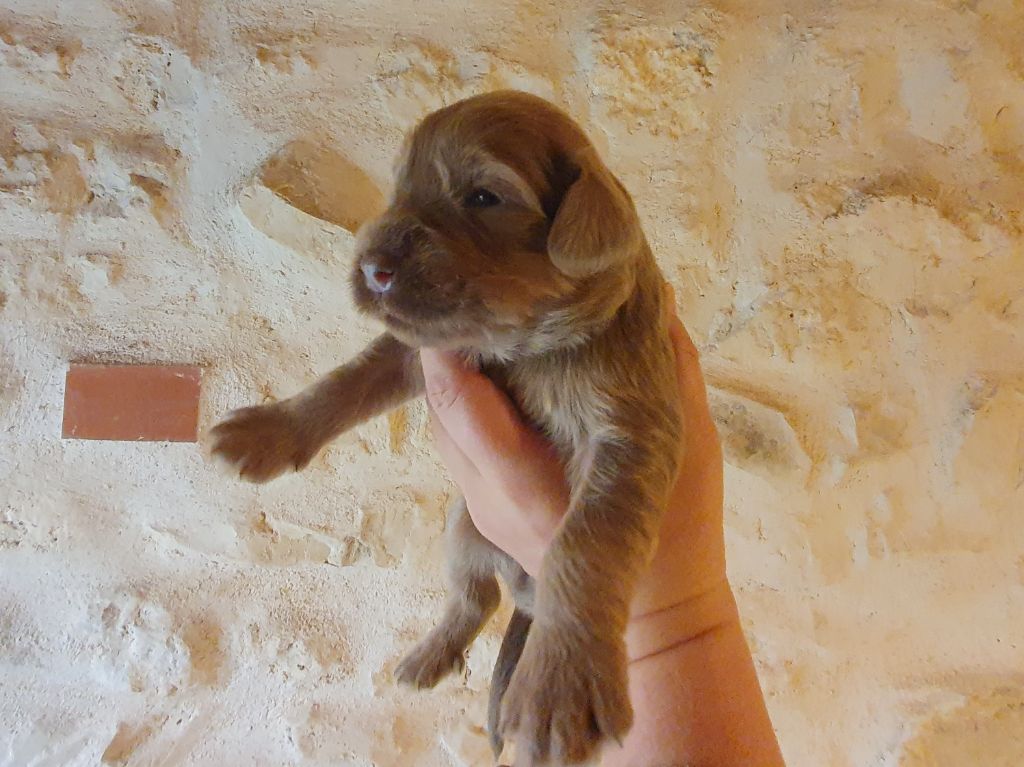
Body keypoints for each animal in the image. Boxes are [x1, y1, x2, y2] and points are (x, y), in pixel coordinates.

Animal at [208, 91, 684, 765]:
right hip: (462, 528)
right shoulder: (420, 348)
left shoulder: (631, 431)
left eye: (482, 196)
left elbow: (586, 543)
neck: (522, 350)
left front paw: (560, 681)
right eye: (398, 188)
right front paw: (266, 432)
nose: (373, 268)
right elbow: (346, 381)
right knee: (474, 597)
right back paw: (428, 657)